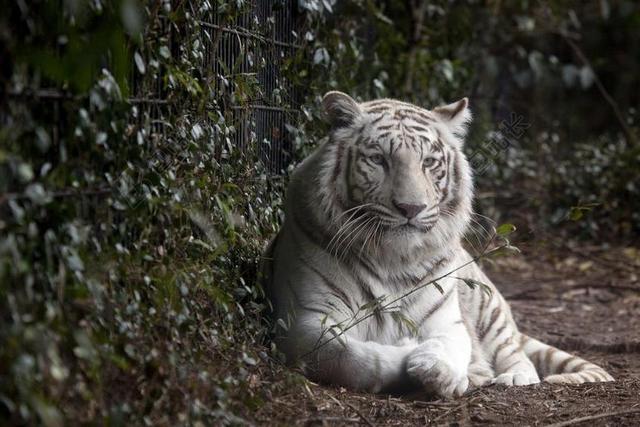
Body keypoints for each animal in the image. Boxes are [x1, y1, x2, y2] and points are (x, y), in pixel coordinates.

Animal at [262, 90, 612, 398]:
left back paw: (511, 377)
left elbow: (448, 344)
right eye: (378, 159)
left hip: (489, 308)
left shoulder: (448, 321)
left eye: (429, 162)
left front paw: (440, 370)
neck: (390, 258)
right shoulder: (306, 322)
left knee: (517, 353)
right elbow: (351, 356)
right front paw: (409, 352)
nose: (411, 208)